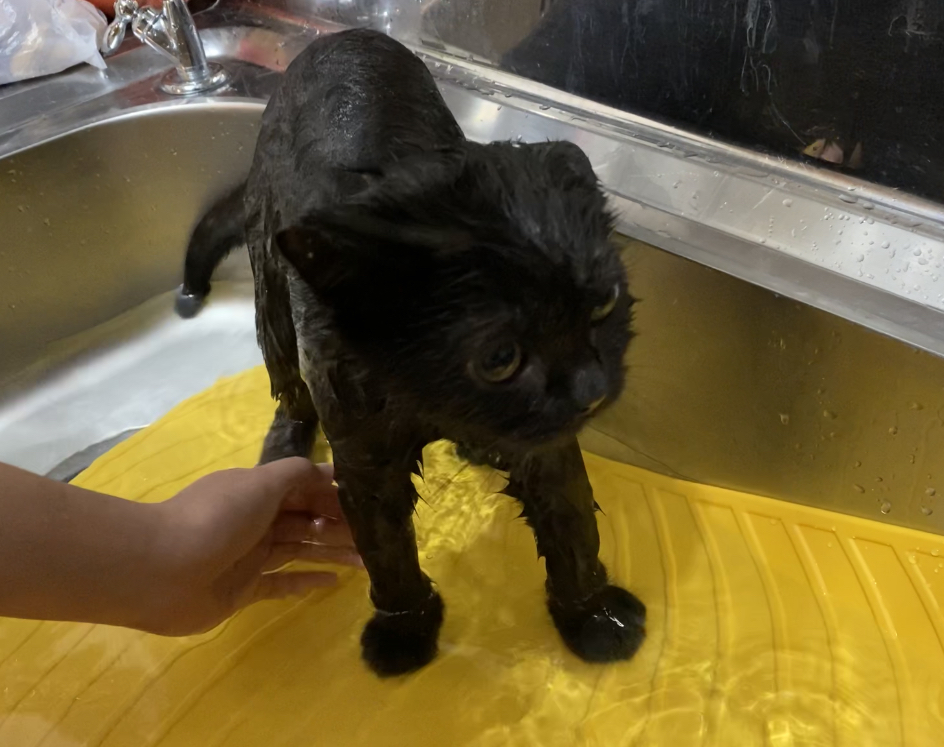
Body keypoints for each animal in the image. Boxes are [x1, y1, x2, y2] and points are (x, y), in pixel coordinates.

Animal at [176, 28, 645, 677]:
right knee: (288, 389)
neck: (431, 396)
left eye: (603, 304)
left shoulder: (545, 448)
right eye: (498, 358)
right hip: (271, 298)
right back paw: (283, 446)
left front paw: (593, 616)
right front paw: (404, 630)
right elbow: (388, 558)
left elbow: (572, 528)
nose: (590, 390)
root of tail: (342, 35)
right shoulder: (364, 463)